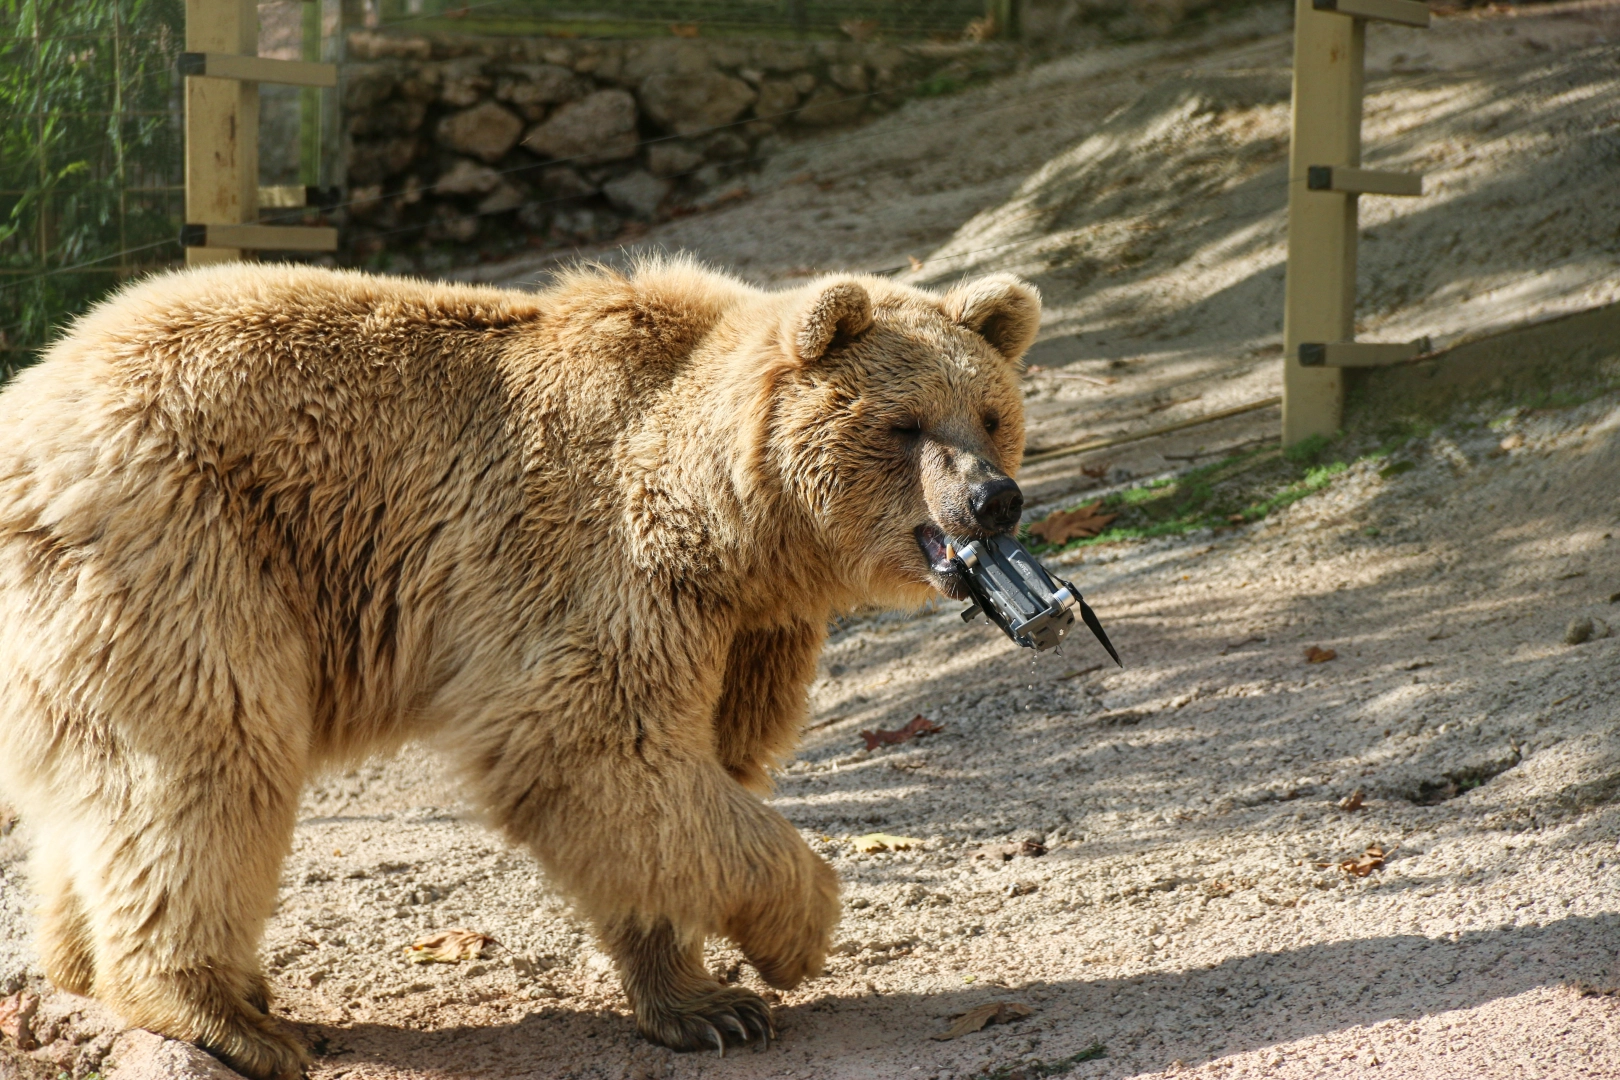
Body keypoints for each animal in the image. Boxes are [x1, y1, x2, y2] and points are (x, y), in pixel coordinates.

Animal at [0, 257, 1036, 1075]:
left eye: (991, 414)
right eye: (906, 424)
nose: (995, 499)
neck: (734, 528)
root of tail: (31, 401)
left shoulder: (746, 631)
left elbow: (677, 789)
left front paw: (705, 1005)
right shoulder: (598, 564)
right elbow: (597, 748)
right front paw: (795, 938)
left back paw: (93, 968)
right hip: (184, 542)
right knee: (206, 762)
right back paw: (223, 1016)